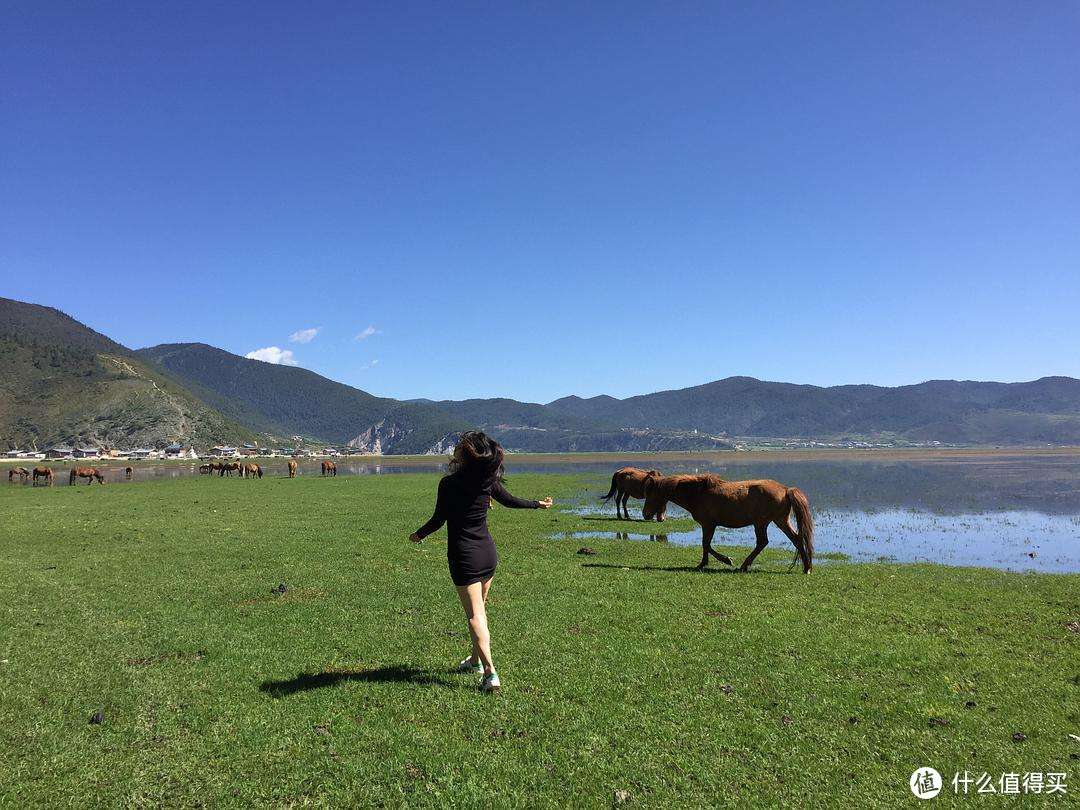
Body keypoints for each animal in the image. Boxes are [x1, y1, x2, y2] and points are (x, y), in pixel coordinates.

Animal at [639, 473, 812, 574]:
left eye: (650, 495)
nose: (645, 514)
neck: (698, 494)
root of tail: (786, 490)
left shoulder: (709, 524)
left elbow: (706, 544)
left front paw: (724, 560)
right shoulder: (708, 525)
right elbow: (706, 545)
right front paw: (704, 563)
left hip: (761, 523)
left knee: (763, 542)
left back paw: (744, 565)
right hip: (779, 521)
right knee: (796, 539)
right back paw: (806, 568)